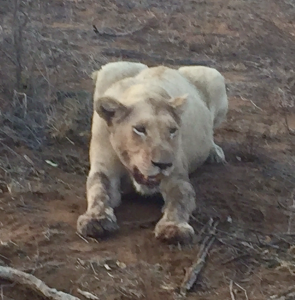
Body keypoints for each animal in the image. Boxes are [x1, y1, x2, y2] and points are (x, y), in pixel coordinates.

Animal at [77, 61, 229, 244]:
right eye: (140, 129)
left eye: (172, 130)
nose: (163, 164)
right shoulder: (104, 169)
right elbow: (98, 190)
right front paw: (96, 219)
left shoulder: (177, 177)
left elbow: (180, 200)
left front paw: (173, 227)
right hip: (111, 69)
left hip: (214, 77)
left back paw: (214, 152)